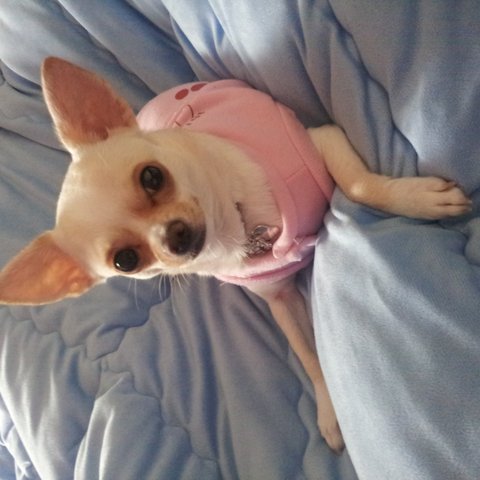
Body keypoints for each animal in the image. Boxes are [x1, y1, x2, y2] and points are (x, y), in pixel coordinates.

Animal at [0, 58, 471, 452]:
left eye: (152, 176)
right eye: (126, 261)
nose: (175, 236)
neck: (237, 226)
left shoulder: (320, 140)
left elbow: (358, 185)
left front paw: (418, 200)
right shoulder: (277, 298)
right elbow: (306, 353)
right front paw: (330, 409)